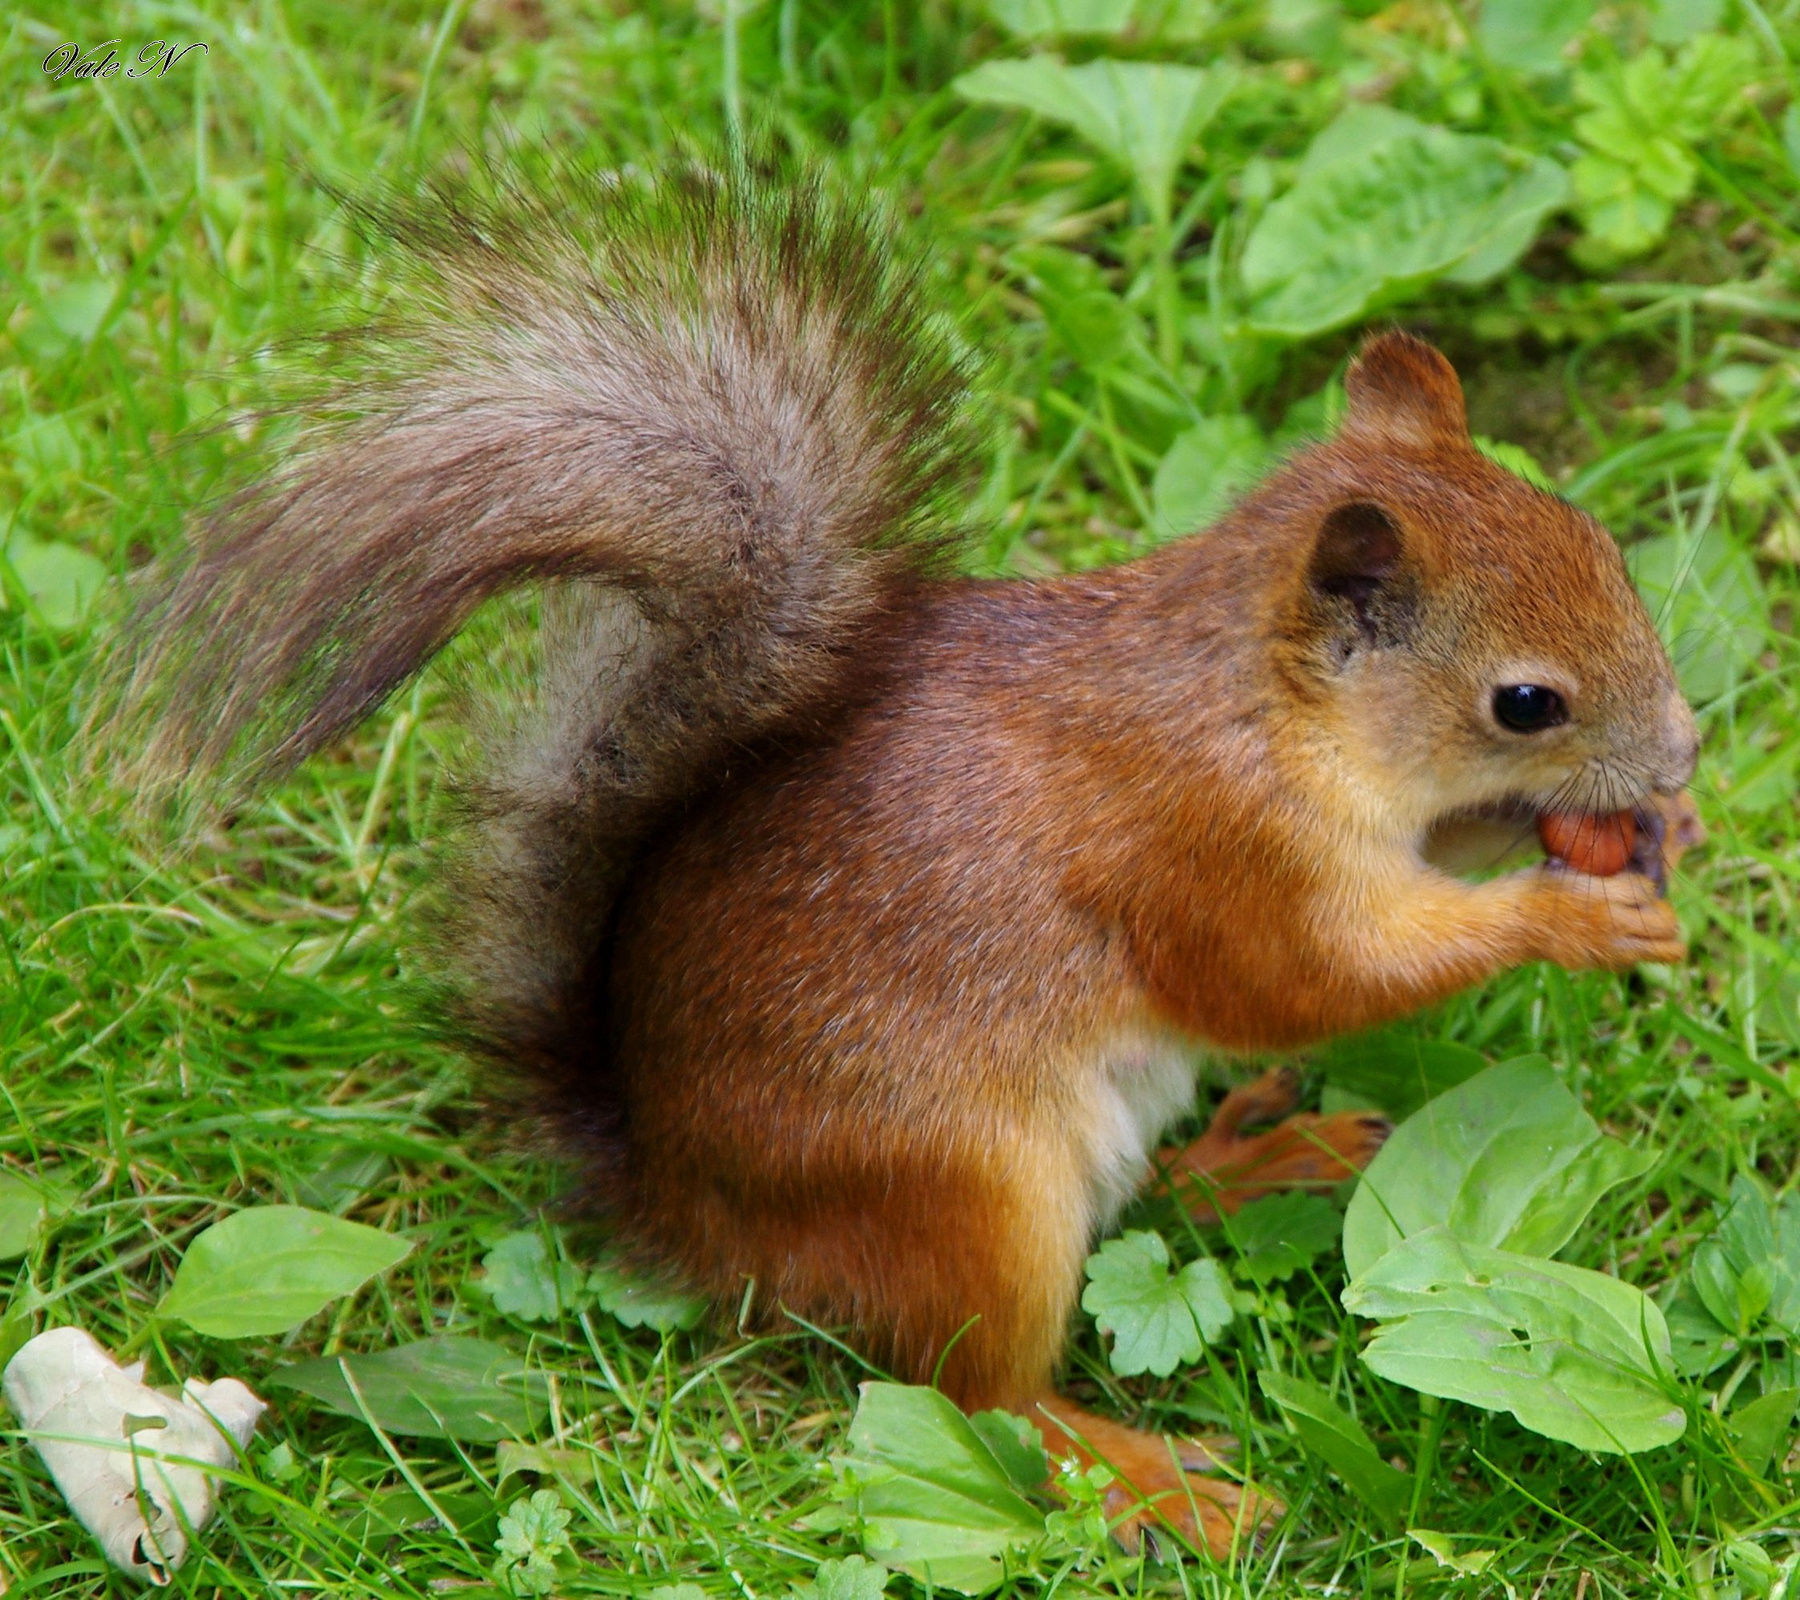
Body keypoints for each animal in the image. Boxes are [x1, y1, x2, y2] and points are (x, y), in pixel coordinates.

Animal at [106, 162, 1702, 1557]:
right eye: (1524, 701)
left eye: (1604, 547)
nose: (1686, 757)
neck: (1266, 704)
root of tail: (684, 1204)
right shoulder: (1206, 847)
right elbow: (1301, 982)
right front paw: (1567, 916)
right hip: (969, 1191)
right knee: (980, 1394)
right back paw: (1151, 1479)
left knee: (1141, 1225)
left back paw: (1263, 1160)